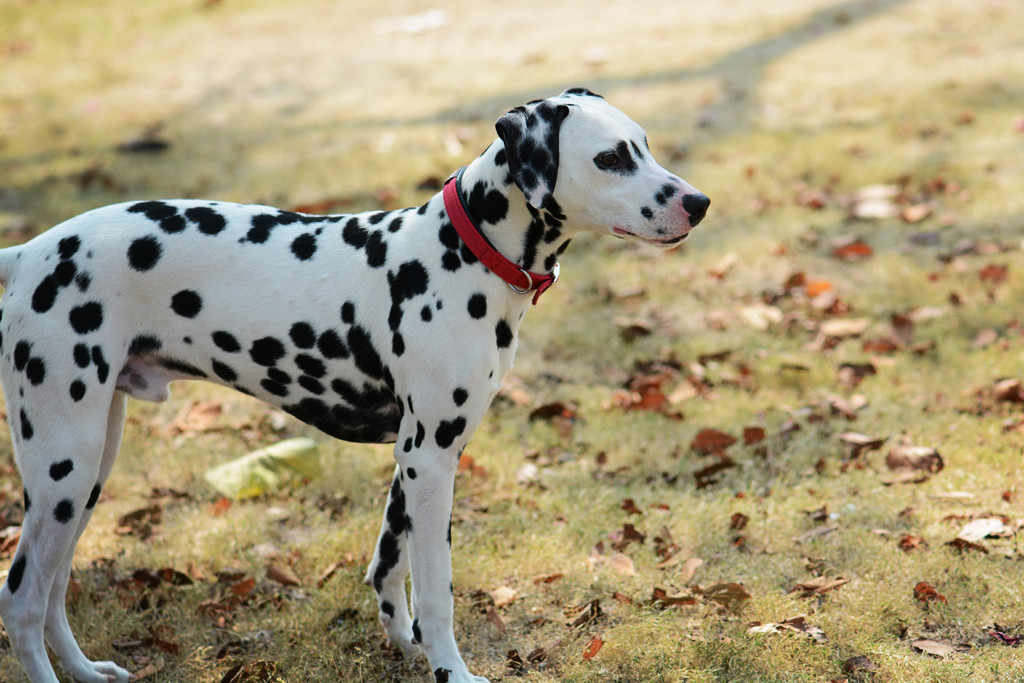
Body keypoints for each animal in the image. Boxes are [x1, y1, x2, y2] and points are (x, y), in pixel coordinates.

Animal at [0, 90, 704, 683]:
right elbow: (437, 590)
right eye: (610, 158)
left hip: (88, 470)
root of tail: (30, 251)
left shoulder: (415, 457)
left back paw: (87, 672)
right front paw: (450, 670)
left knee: (54, 589)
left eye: (645, 145)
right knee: (23, 597)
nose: (697, 203)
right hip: (63, 467)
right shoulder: (432, 460)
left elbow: (389, 568)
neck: (462, 254)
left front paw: (406, 647)